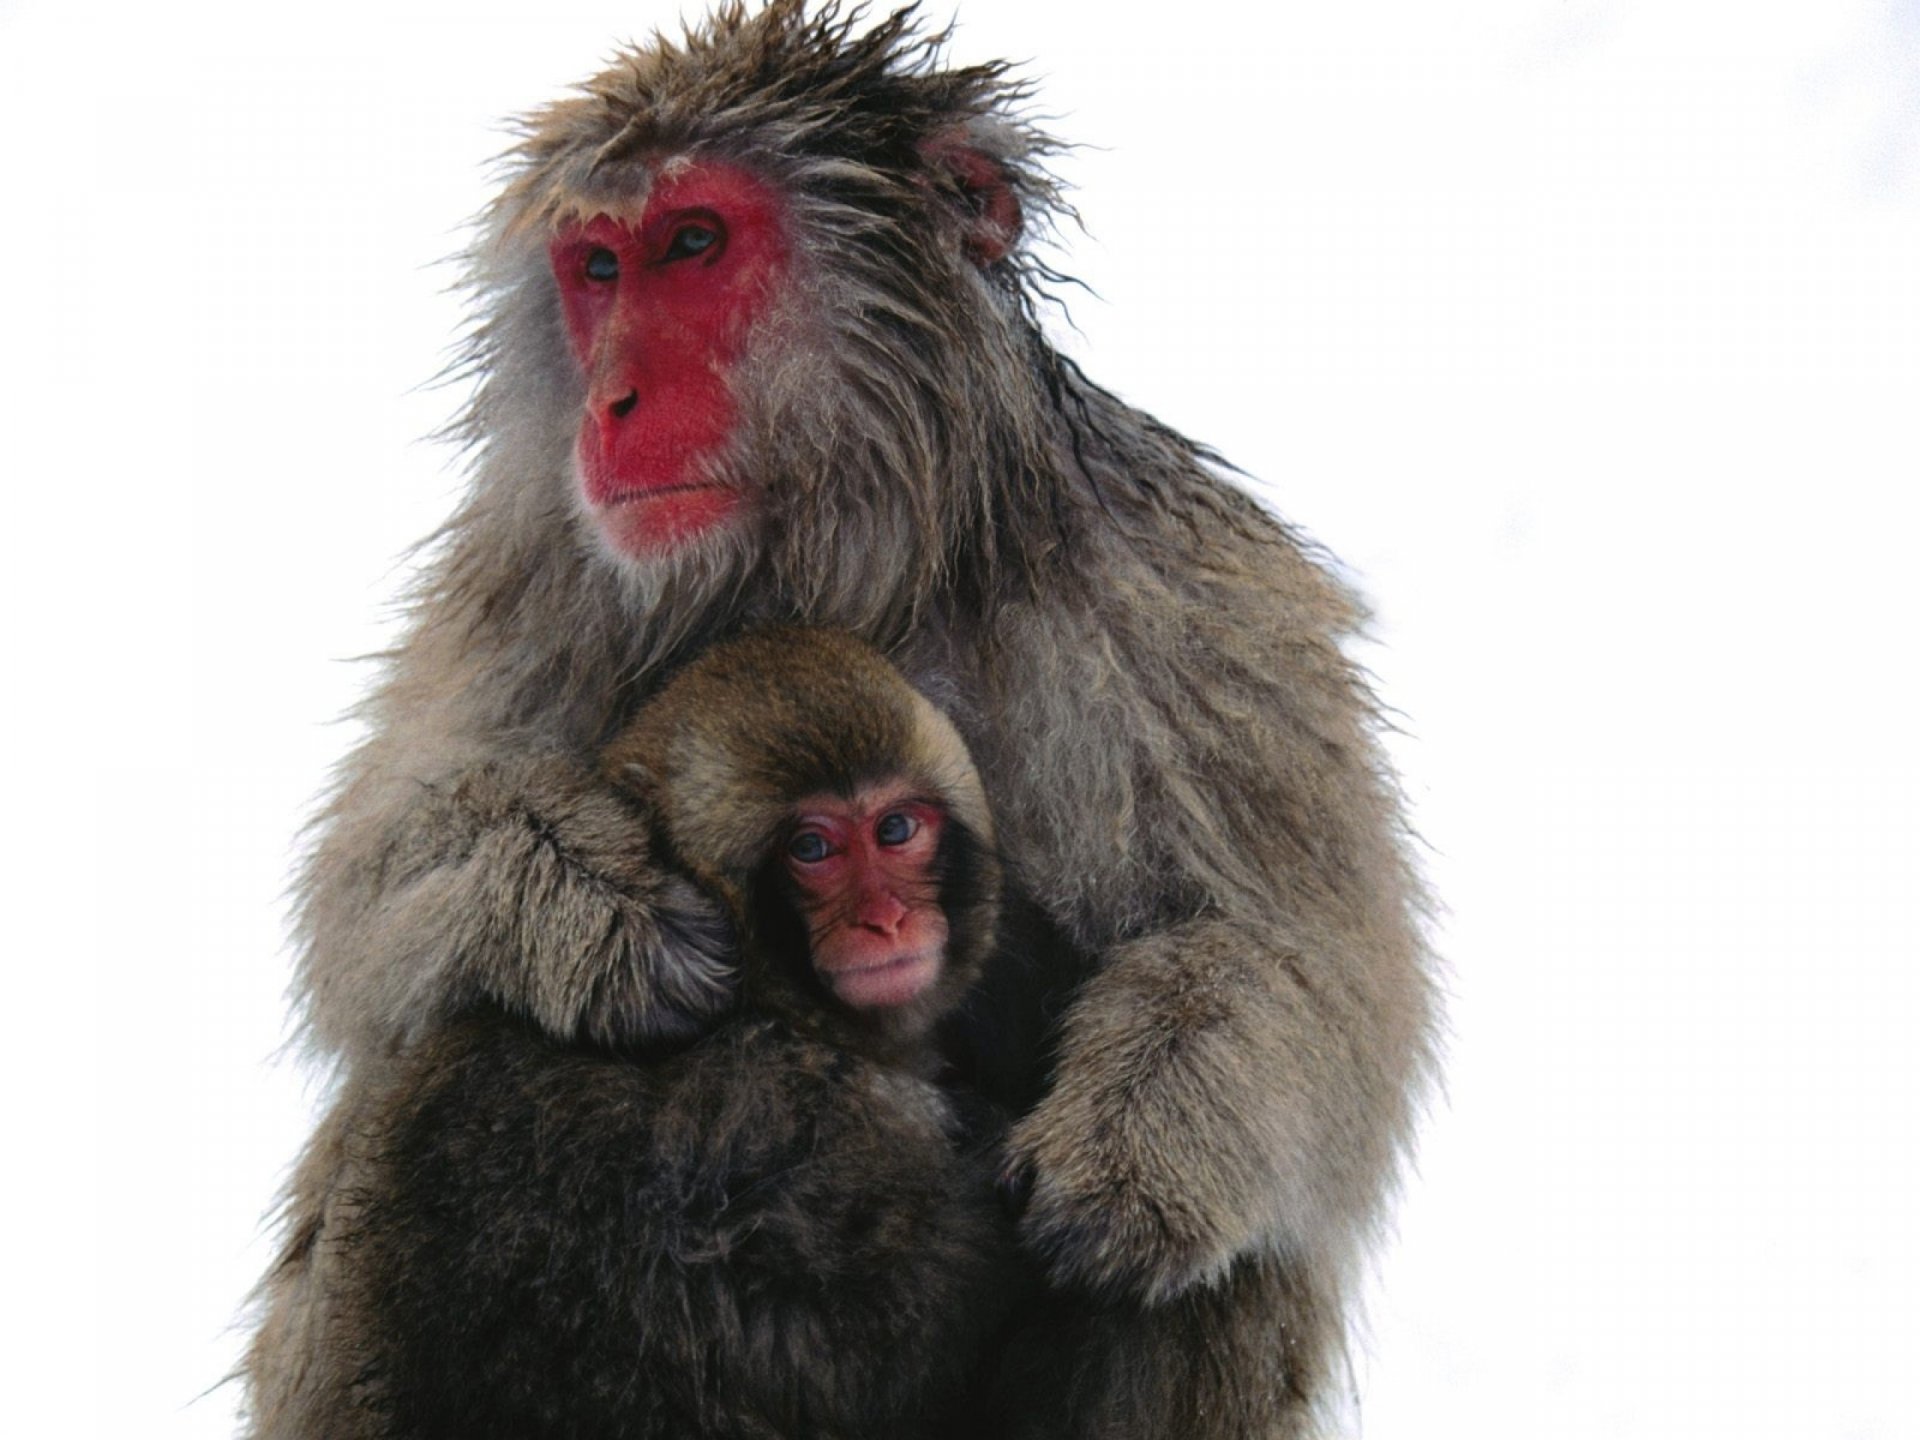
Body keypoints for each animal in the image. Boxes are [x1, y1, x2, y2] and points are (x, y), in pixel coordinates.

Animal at [248, 5, 1438, 1437]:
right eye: (598, 267)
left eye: (692, 245)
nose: (610, 401)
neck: (848, 557)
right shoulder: (542, 577)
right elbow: (364, 910)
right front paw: (589, 904)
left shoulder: (1179, 585)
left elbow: (1303, 965)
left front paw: (1138, 1152)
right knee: (461, 1058)